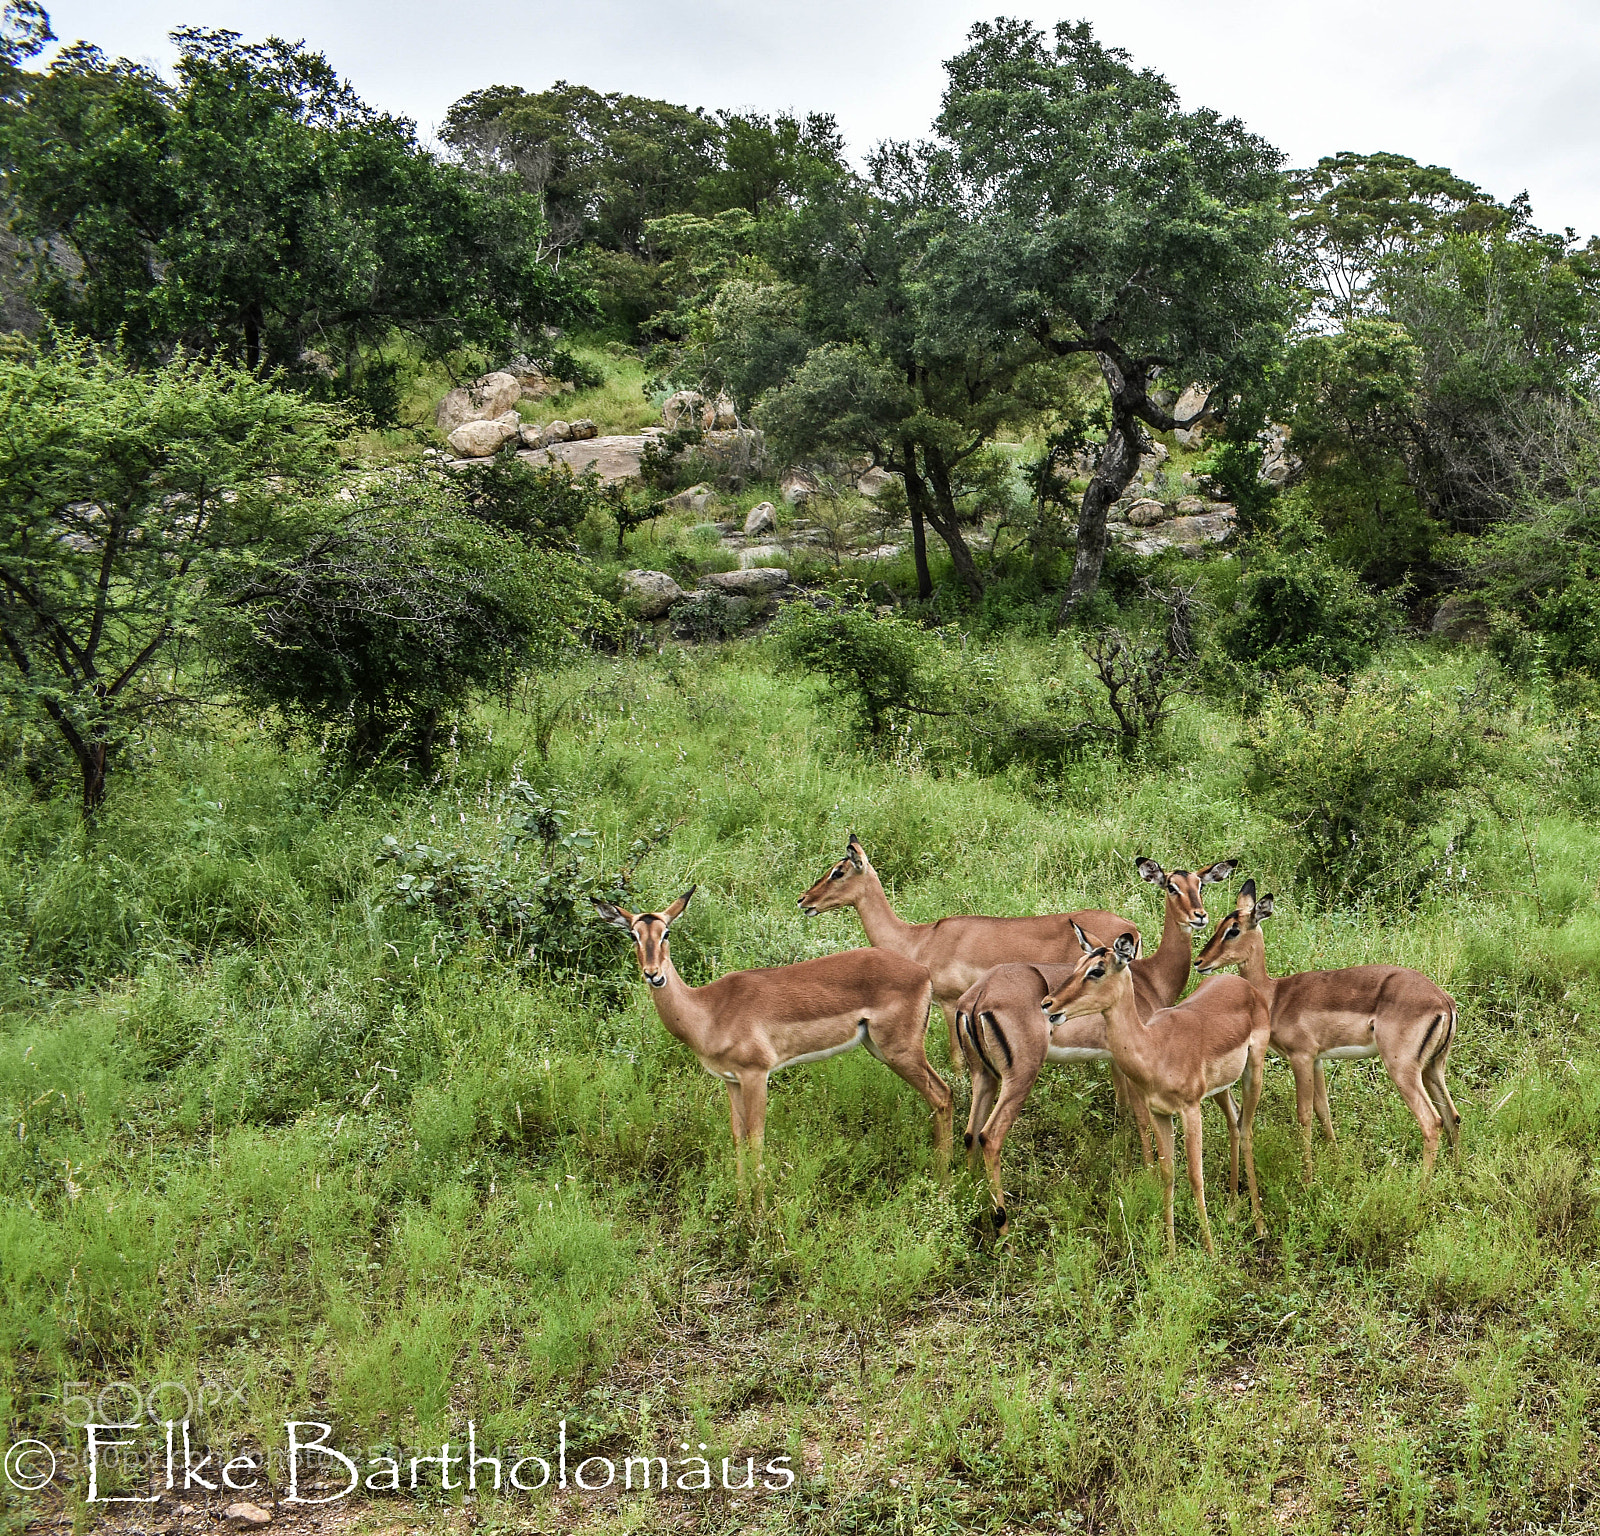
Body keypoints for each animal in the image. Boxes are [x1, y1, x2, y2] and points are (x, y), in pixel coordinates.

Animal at [591, 887, 954, 1192]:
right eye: (633, 934)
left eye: (666, 932)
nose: (653, 974)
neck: (708, 1010)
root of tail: (922, 972)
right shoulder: (731, 1080)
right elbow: (738, 1139)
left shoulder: (756, 1074)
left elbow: (756, 1140)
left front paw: (758, 1214)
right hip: (879, 1048)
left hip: (901, 1051)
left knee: (943, 1094)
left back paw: (943, 1180)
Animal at [797, 833, 1139, 1061]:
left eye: (838, 871)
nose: (803, 900)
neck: (918, 939)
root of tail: (1132, 928)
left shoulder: (950, 1004)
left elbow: (956, 1060)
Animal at [1039, 927, 1271, 1255]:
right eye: (1077, 964)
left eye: (1097, 970)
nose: (1048, 1004)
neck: (1154, 1047)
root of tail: (1243, 985)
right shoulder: (1159, 1112)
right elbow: (1168, 1173)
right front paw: (1171, 1252)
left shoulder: (1190, 1109)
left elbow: (1195, 1176)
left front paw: (1211, 1253)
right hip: (1220, 1088)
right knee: (1235, 1123)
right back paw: (1232, 1211)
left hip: (1254, 1068)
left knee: (1248, 1129)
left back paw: (1260, 1225)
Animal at [1193, 881, 1461, 1180]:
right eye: (1218, 924)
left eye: (1234, 929)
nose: (1199, 962)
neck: (1274, 995)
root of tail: (1444, 1001)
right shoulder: (1318, 1060)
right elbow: (1323, 1110)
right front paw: (1336, 1160)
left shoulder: (1301, 1057)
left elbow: (1304, 1114)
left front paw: (1308, 1177)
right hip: (1433, 1067)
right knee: (1452, 1116)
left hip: (1402, 1068)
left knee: (1432, 1122)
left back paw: (1421, 1186)